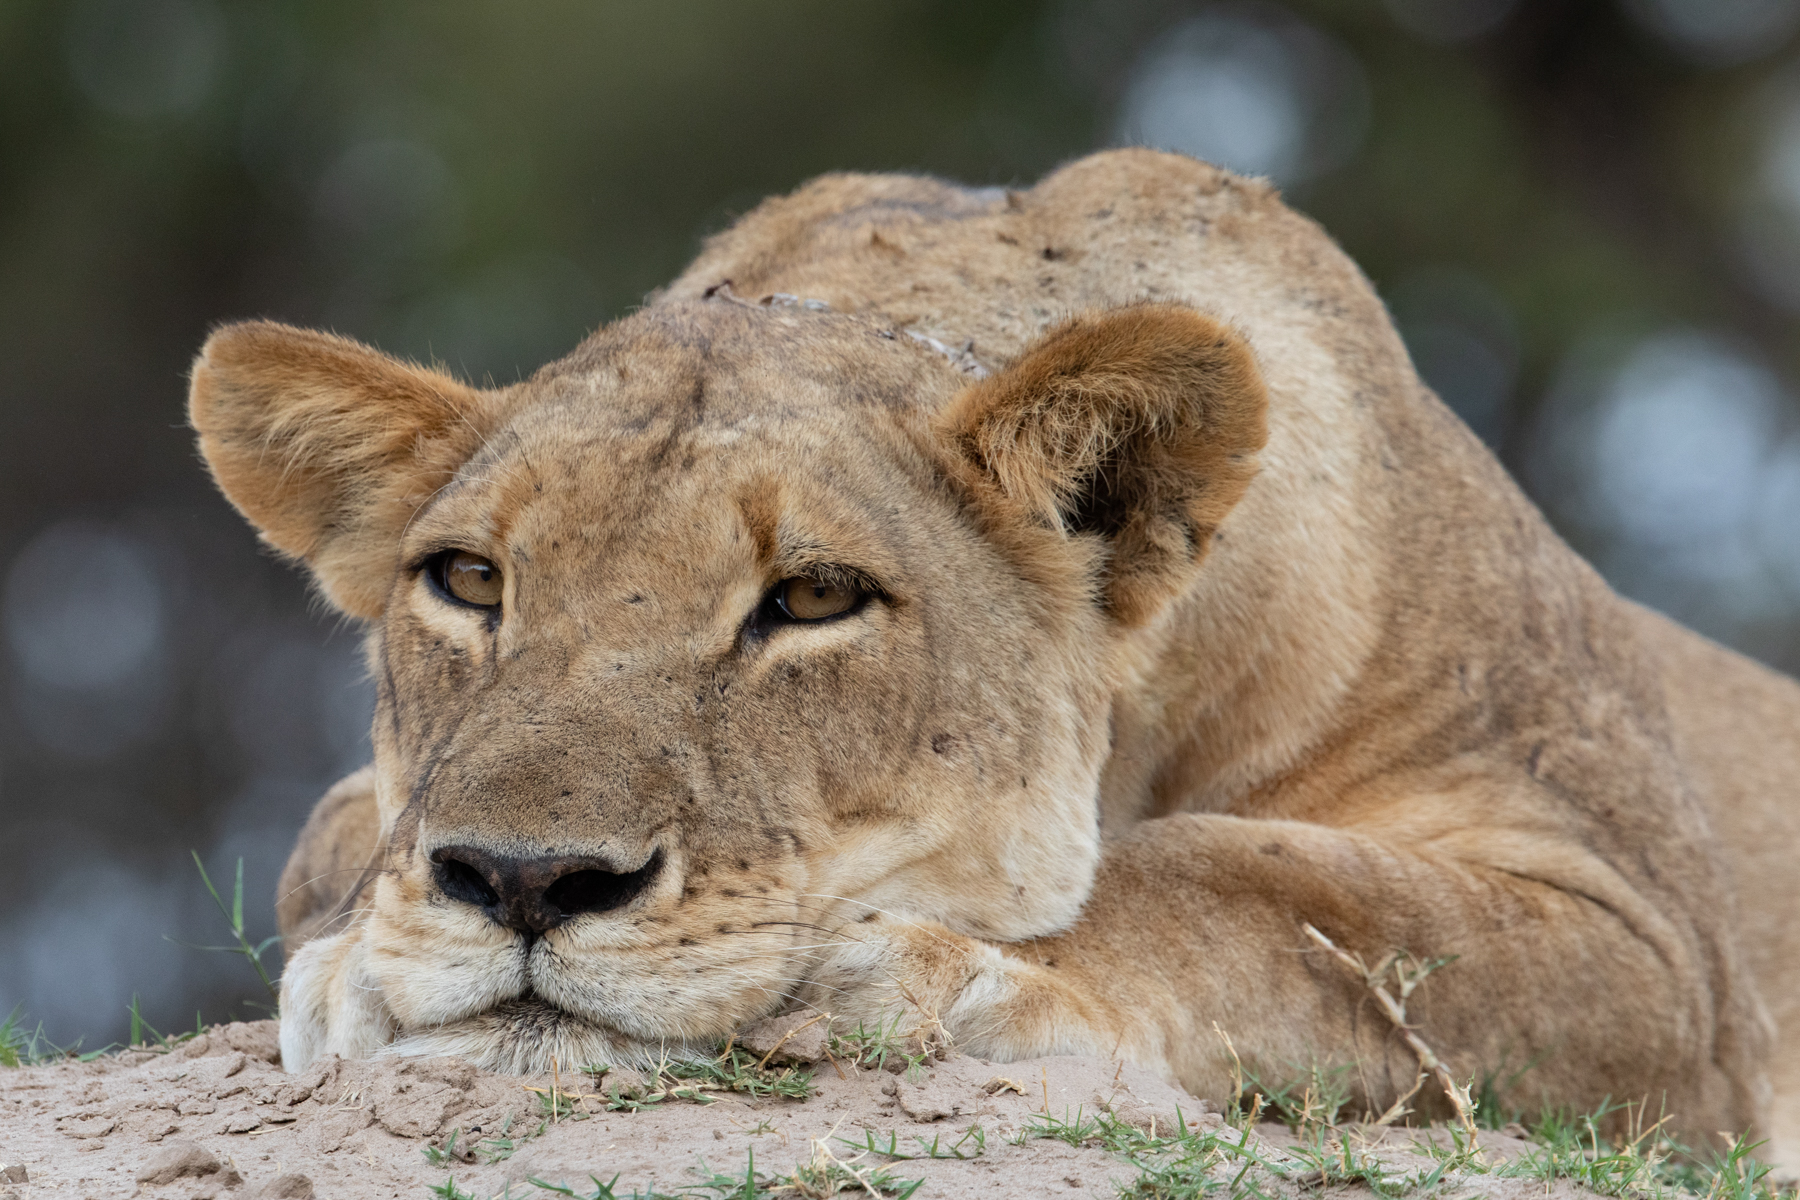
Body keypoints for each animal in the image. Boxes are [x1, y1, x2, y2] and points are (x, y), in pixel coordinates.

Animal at [187, 149, 1800, 1163]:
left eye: (813, 597)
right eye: (470, 580)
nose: (525, 884)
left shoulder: (1662, 958)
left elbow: (1277, 891)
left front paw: (924, 974)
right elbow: (329, 834)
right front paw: (365, 956)